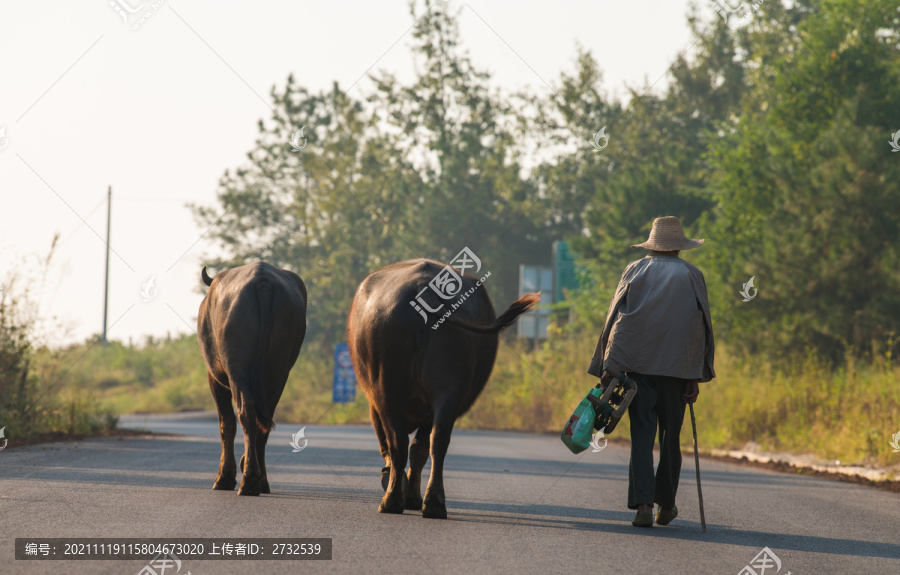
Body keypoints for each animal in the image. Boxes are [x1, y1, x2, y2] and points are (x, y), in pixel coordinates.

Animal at [198, 264, 308, 498]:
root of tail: (262, 280)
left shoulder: (214, 377)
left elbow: (226, 422)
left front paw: (224, 477)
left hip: (237, 367)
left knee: (244, 412)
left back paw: (248, 480)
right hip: (278, 369)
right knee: (264, 419)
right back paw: (260, 478)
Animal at [348, 258, 536, 520]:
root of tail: (425, 290)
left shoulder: (375, 404)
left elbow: (394, 446)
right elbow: (420, 450)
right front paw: (413, 496)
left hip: (386, 388)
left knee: (397, 442)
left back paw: (392, 500)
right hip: (449, 387)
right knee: (438, 441)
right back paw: (434, 503)